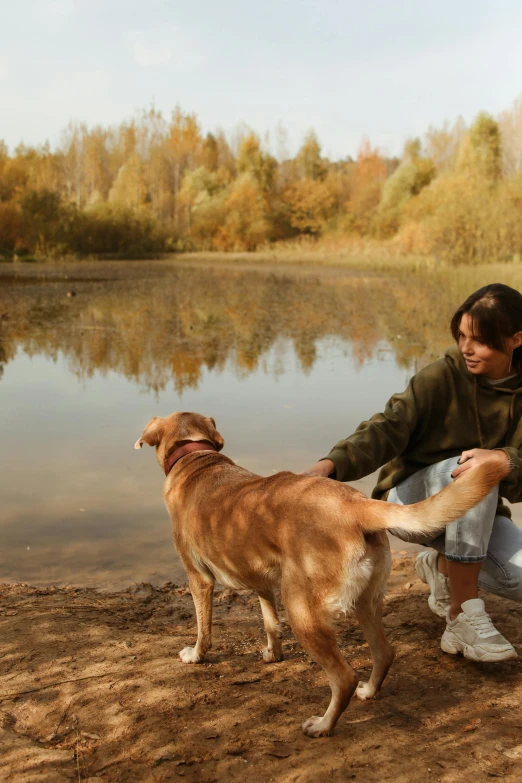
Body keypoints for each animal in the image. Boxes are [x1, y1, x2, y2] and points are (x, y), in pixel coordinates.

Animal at [135, 414, 508, 740]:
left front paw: (196, 656)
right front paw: (272, 653)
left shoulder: (198, 578)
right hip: (364, 603)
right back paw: (369, 691)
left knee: (343, 677)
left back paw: (323, 725)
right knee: (384, 653)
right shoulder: (262, 581)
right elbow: (270, 622)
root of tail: (354, 503)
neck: (196, 457)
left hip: (303, 611)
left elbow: (203, 628)